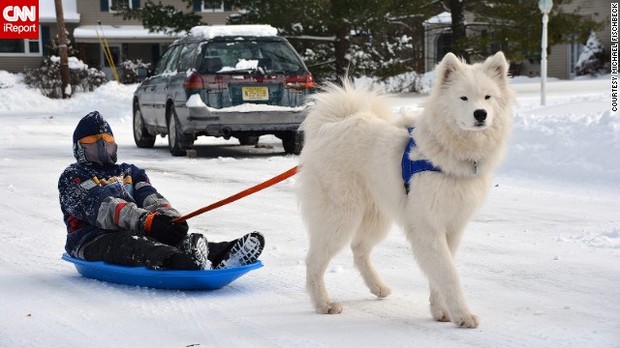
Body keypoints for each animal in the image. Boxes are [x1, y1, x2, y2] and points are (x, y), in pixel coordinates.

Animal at [296, 50, 512, 328]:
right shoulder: (428, 225)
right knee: (314, 261)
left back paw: (378, 288)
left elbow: (439, 272)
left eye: (488, 97)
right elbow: (448, 273)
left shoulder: (452, 226)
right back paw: (324, 303)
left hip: (377, 216)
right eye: (463, 97)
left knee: (359, 250)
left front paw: (440, 311)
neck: (447, 153)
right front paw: (463, 316)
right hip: (340, 217)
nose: (480, 114)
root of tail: (331, 125)